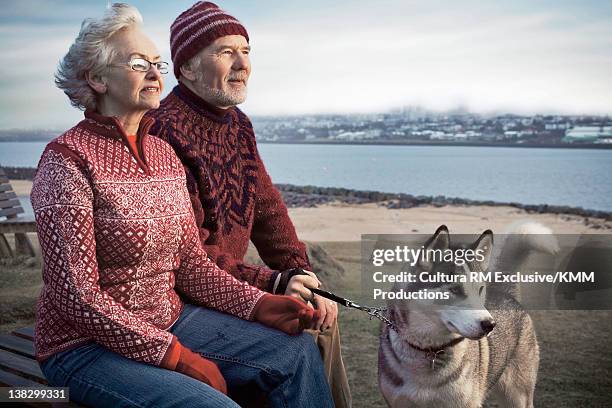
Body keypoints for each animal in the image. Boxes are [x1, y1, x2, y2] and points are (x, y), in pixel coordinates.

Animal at [376, 223, 556, 408]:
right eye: (455, 289)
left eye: (480, 289)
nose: (490, 324)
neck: (430, 351)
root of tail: (504, 292)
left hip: (518, 396)